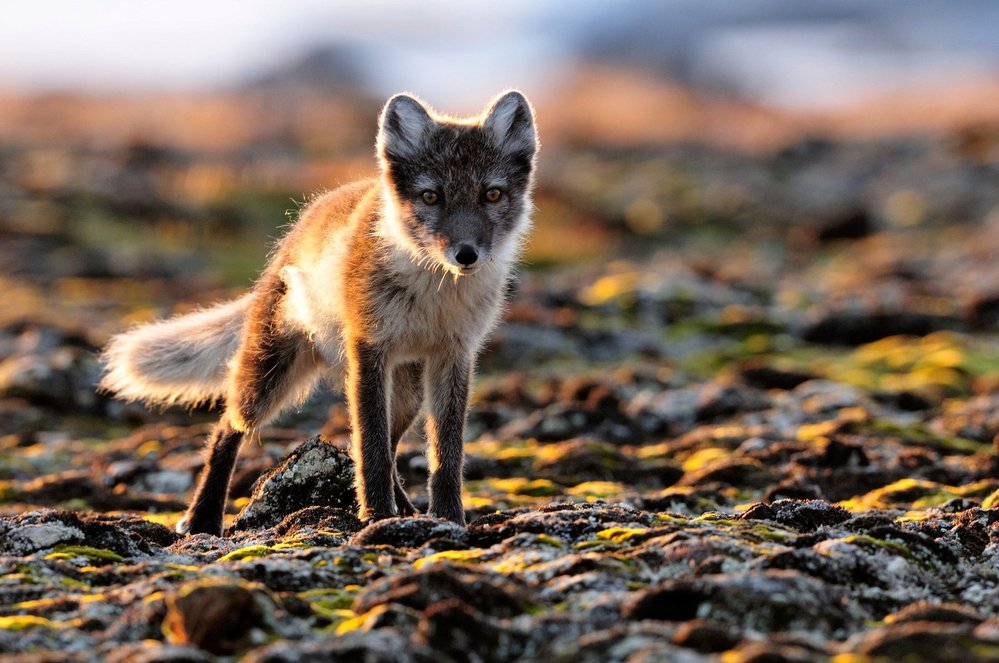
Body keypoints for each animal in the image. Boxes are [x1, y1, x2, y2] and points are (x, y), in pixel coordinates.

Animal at [99, 91, 540, 536]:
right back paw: (202, 516)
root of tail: (294, 234)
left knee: (380, 442)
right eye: (432, 197)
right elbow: (371, 446)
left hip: (409, 394)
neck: (434, 291)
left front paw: (448, 518)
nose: (466, 255)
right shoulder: (368, 349)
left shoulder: (455, 355)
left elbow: (444, 452)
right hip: (268, 380)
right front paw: (377, 515)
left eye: (492, 195)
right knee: (228, 427)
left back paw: (406, 508)